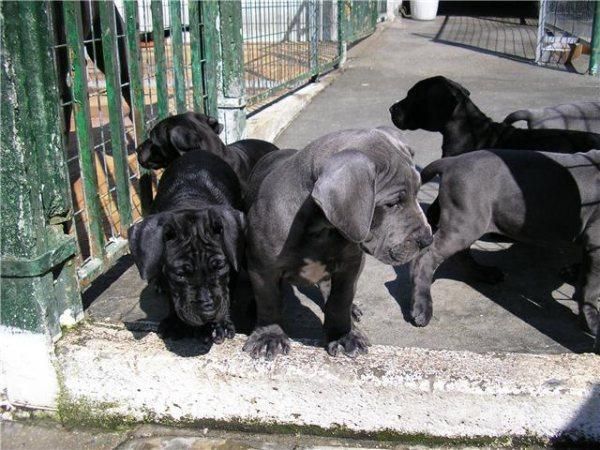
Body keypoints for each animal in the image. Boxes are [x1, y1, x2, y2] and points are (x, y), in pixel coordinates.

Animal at [129, 149, 246, 342]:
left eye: (220, 266)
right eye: (180, 274)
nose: (208, 311)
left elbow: (226, 292)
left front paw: (221, 323)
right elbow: (172, 294)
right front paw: (174, 323)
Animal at [241, 128, 434, 360]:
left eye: (418, 192)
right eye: (392, 203)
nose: (427, 239)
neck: (320, 228)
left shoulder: (350, 264)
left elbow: (339, 300)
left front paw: (343, 336)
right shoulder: (263, 268)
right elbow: (269, 302)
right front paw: (269, 337)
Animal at [412, 149, 600, 354]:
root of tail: (451, 162)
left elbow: (585, 284)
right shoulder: (596, 244)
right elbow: (591, 288)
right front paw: (592, 323)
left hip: (470, 222)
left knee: (461, 253)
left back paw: (483, 273)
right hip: (466, 223)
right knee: (426, 258)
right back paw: (422, 308)